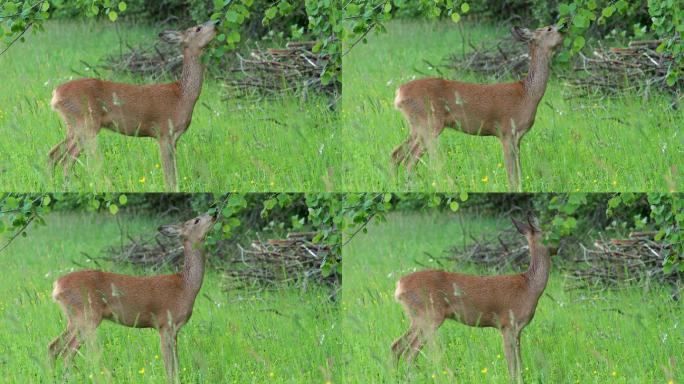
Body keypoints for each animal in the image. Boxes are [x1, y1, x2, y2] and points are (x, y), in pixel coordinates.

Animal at [48, 20, 218, 191]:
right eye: (198, 28)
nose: (217, 23)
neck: (183, 96)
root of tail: (56, 93)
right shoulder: (163, 133)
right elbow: (169, 175)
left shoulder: (174, 138)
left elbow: (174, 175)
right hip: (86, 123)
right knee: (67, 160)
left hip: (74, 126)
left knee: (54, 154)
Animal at [48, 214, 216, 382]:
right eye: (196, 220)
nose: (214, 215)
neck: (186, 287)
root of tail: (57, 285)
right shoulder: (164, 325)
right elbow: (169, 366)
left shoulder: (175, 330)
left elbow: (176, 364)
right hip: (87, 315)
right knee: (67, 352)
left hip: (75, 318)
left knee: (53, 347)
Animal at [392, 25, 564, 190]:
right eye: (549, 28)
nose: (564, 28)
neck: (528, 94)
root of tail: (399, 93)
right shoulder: (506, 132)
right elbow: (511, 174)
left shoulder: (518, 138)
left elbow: (519, 172)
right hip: (430, 124)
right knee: (415, 162)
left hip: (417, 126)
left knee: (396, 155)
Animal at [392, 214, 548, 382]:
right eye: (546, 235)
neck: (530, 287)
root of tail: (399, 285)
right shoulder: (507, 325)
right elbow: (512, 363)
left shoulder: (518, 330)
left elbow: (519, 362)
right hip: (429, 316)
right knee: (409, 353)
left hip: (418, 318)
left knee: (397, 347)